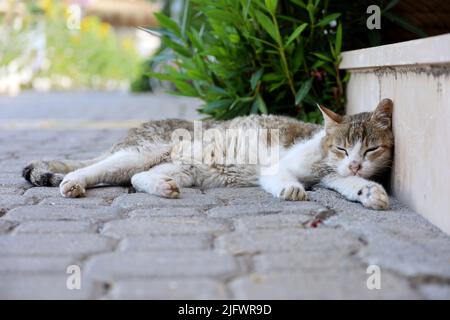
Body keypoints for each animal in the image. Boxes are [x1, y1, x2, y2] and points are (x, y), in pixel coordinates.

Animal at [22, 97, 394, 210]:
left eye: (371, 149)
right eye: (342, 147)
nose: (355, 164)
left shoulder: (332, 175)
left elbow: (344, 183)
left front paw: (367, 191)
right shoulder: (283, 161)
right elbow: (281, 176)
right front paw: (291, 189)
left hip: (182, 168)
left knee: (139, 177)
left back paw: (163, 188)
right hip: (141, 151)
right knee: (97, 169)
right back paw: (71, 183)